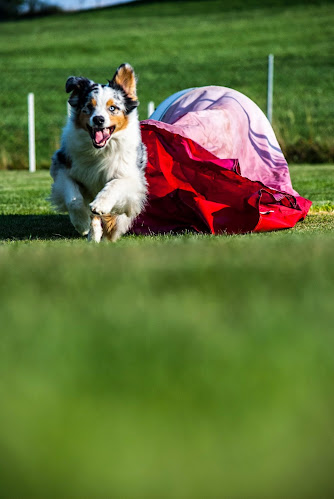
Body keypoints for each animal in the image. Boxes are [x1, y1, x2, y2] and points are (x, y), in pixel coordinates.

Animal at [50, 63, 147, 243]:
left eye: (112, 108)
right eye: (89, 107)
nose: (98, 119)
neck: (100, 150)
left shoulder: (130, 177)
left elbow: (114, 185)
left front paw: (100, 205)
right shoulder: (63, 167)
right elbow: (74, 200)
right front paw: (81, 223)